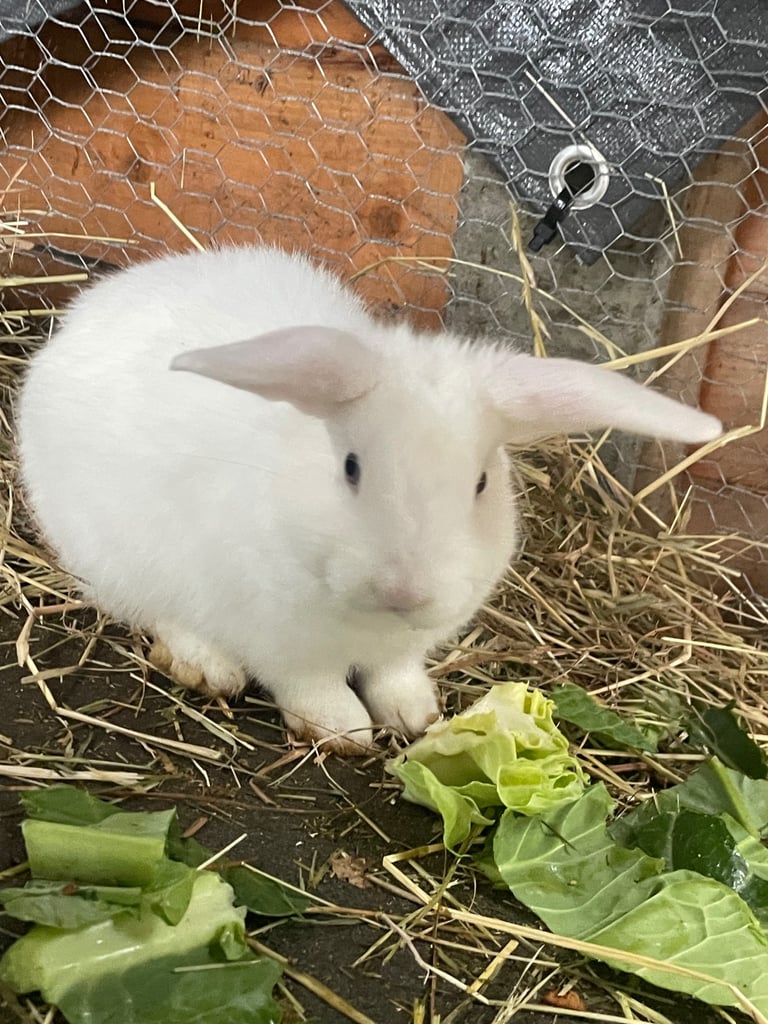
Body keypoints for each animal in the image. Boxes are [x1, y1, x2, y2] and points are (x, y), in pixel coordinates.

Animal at [15, 244, 722, 754]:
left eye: (480, 483)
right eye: (351, 467)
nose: (406, 592)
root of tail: (94, 306)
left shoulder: (405, 646)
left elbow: (394, 677)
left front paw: (415, 715)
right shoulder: (281, 643)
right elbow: (314, 687)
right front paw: (344, 731)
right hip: (112, 555)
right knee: (155, 613)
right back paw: (207, 666)